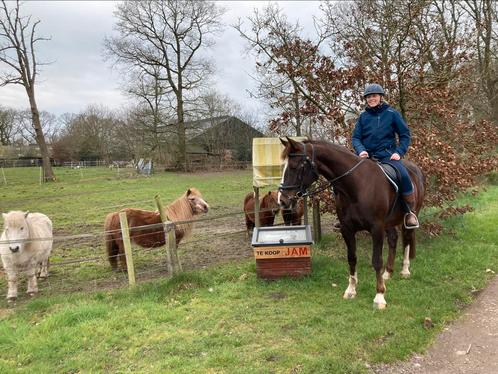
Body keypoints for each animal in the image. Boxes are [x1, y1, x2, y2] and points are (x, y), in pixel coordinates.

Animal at [278, 139, 422, 308]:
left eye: (295, 167)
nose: (282, 200)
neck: (357, 185)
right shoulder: (347, 229)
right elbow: (352, 258)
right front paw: (351, 290)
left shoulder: (376, 229)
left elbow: (376, 261)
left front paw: (379, 296)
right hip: (389, 222)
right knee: (393, 239)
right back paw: (388, 273)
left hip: (409, 217)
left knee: (407, 238)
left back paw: (405, 270)